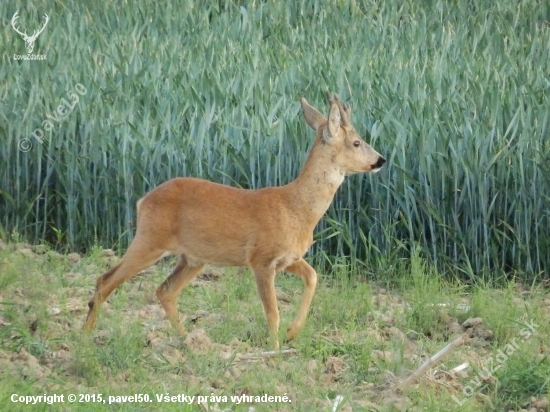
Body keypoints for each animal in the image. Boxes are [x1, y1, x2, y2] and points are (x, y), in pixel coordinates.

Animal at [86, 93, 388, 348]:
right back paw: (86, 336)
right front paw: (275, 350)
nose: (381, 160)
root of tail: (142, 201)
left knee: (165, 291)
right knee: (106, 280)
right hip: (150, 240)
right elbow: (272, 312)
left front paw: (292, 333)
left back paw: (190, 342)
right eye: (357, 142)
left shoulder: (287, 257)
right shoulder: (261, 259)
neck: (296, 208)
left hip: (193, 258)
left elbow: (312, 277)